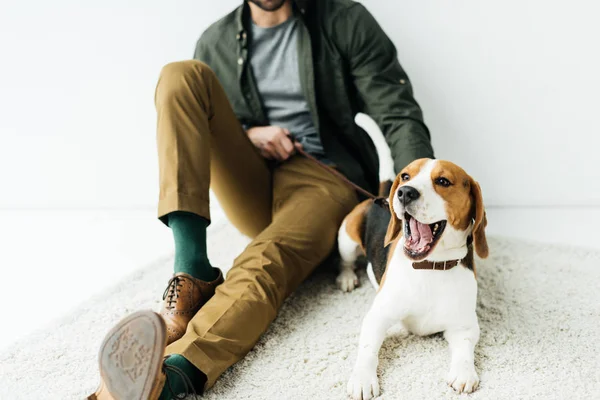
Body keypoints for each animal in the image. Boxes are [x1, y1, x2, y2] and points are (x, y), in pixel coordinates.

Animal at [338, 114, 488, 398]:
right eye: (406, 175)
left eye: (443, 181)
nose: (405, 191)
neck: (429, 267)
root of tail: (379, 197)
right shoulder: (378, 316)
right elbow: (367, 351)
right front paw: (362, 378)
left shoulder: (464, 326)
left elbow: (464, 351)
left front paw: (464, 373)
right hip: (346, 239)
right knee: (346, 261)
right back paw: (347, 277)